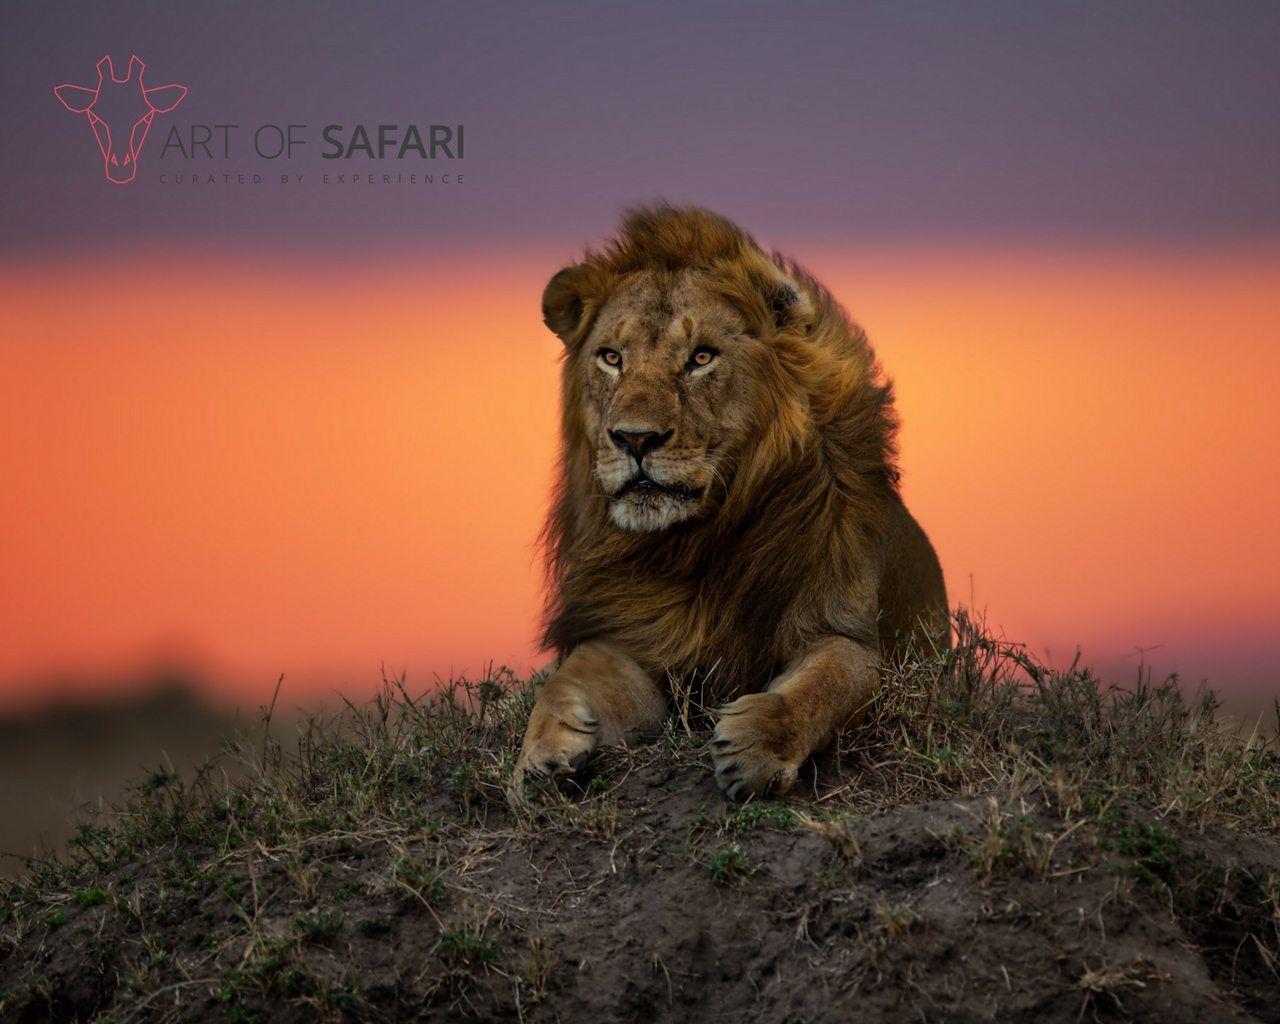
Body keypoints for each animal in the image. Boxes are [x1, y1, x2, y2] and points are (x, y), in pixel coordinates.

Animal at [513, 205, 947, 800]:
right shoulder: (631, 637)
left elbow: (826, 684)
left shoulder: (846, 633)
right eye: (611, 358)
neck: (696, 543)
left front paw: (756, 748)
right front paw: (540, 755)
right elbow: (563, 680)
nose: (634, 439)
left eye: (701, 357)